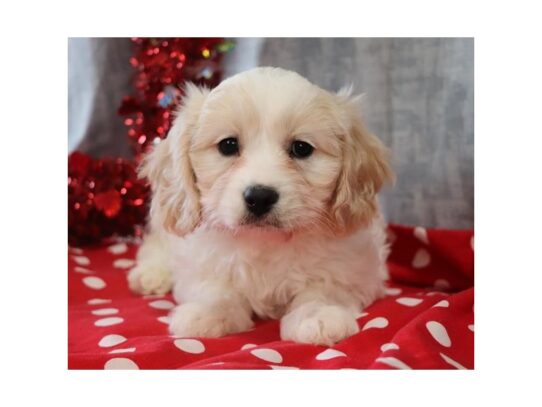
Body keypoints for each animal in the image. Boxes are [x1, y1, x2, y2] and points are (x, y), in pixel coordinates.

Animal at [129, 67, 396, 348]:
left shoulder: (355, 265)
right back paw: (150, 274)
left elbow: (326, 285)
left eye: (301, 148)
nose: (259, 197)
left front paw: (318, 315)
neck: (266, 240)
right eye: (228, 145)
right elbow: (215, 286)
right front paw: (208, 312)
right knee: (156, 243)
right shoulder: (198, 259)